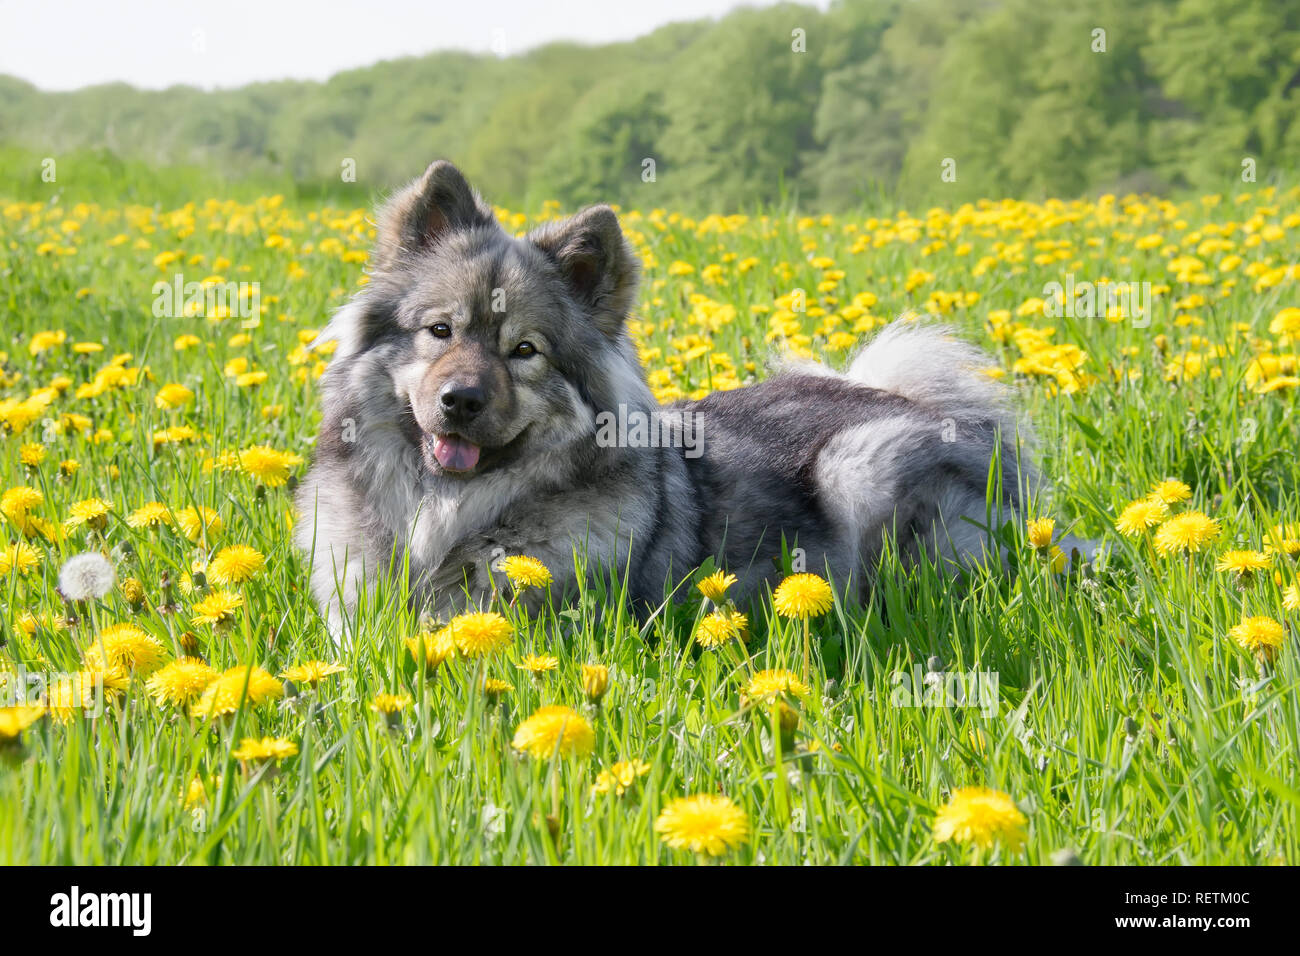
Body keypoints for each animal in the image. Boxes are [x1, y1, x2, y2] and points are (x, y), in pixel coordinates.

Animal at [297, 158, 1045, 634]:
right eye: (440, 331)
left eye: (524, 351)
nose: (460, 400)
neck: (449, 515)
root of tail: (946, 417)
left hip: (857, 467)